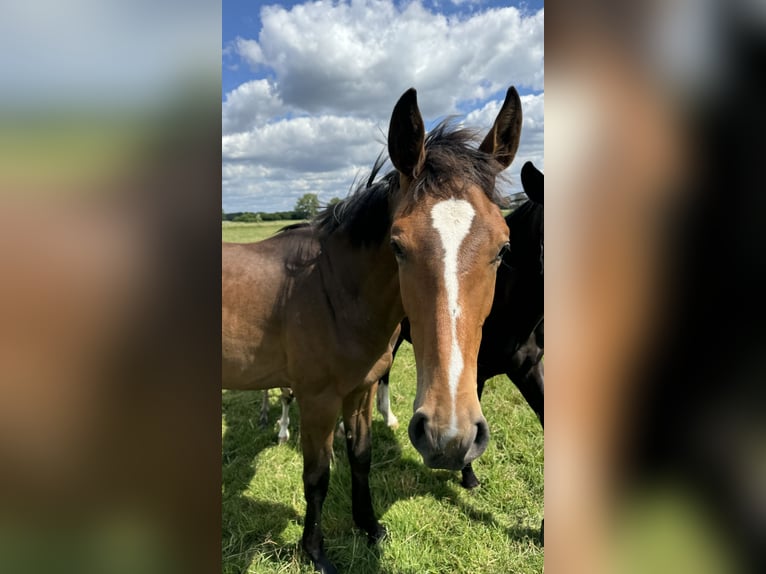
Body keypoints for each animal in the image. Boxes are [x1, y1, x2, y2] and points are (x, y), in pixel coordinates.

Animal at [219, 86, 524, 574]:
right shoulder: (318, 399)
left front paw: (369, 527)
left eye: (504, 247)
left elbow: (360, 460)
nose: (449, 437)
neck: (333, 292)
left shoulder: (359, 392)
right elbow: (317, 476)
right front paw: (316, 552)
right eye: (397, 245)